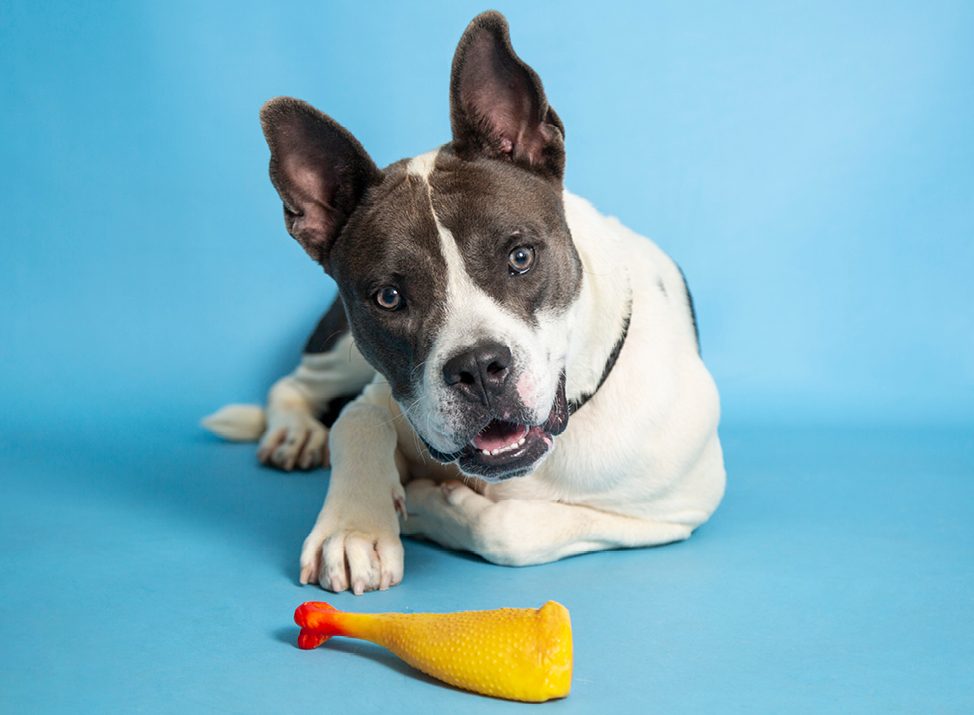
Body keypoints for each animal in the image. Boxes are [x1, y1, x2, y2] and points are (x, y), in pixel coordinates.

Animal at [204, 11, 724, 596]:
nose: (477, 367)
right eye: (389, 297)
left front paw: (429, 505)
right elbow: (358, 421)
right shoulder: (386, 395)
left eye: (520, 257)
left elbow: (513, 530)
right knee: (294, 386)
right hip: (341, 352)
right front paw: (355, 529)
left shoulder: (677, 510)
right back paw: (296, 432)